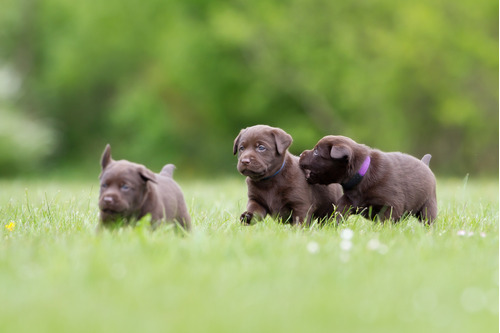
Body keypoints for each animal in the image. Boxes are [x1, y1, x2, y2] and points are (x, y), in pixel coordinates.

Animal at [298, 135, 436, 223]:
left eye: (316, 152)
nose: (300, 154)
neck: (362, 174)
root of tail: (425, 163)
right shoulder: (348, 200)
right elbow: (340, 212)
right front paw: (334, 226)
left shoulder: (391, 206)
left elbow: (384, 222)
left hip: (428, 205)